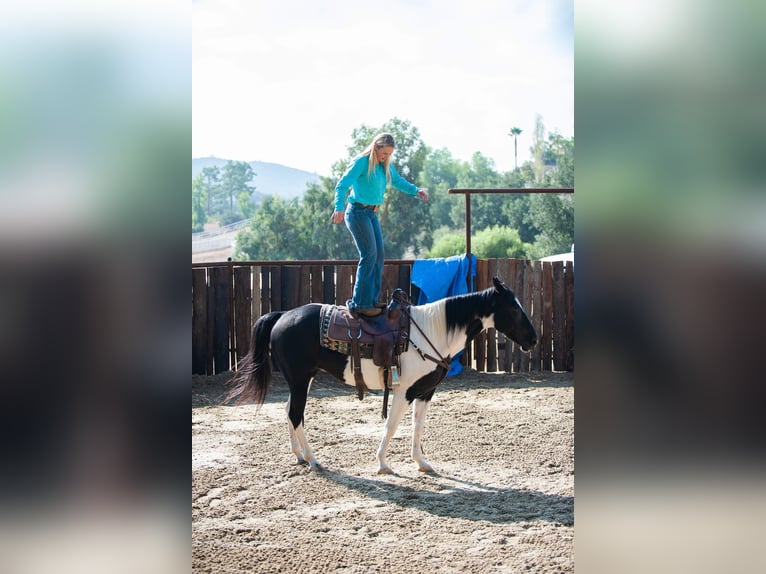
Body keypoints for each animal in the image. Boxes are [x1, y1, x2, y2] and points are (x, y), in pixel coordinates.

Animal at [228, 276, 540, 474]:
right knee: (295, 414)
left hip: (302, 380)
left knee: (289, 411)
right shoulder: (404, 391)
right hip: (300, 378)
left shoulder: (426, 391)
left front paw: (421, 462)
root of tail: (281, 315)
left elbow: (417, 426)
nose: (534, 339)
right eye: (513, 308)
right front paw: (382, 464)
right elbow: (391, 426)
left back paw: (300, 456)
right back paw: (314, 460)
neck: (433, 331)